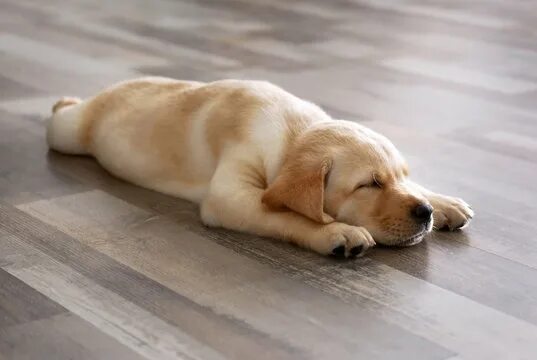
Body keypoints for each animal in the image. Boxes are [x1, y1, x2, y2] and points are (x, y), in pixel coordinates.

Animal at [47, 77, 474, 258]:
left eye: (400, 176)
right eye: (369, 185)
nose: (425, 213)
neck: (294, 132)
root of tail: (111, 87)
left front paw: (443, 201)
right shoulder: (230, 196)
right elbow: (287, 216)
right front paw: (335, 232)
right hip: (68, 134)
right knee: (61, 117)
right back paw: (62, 100)